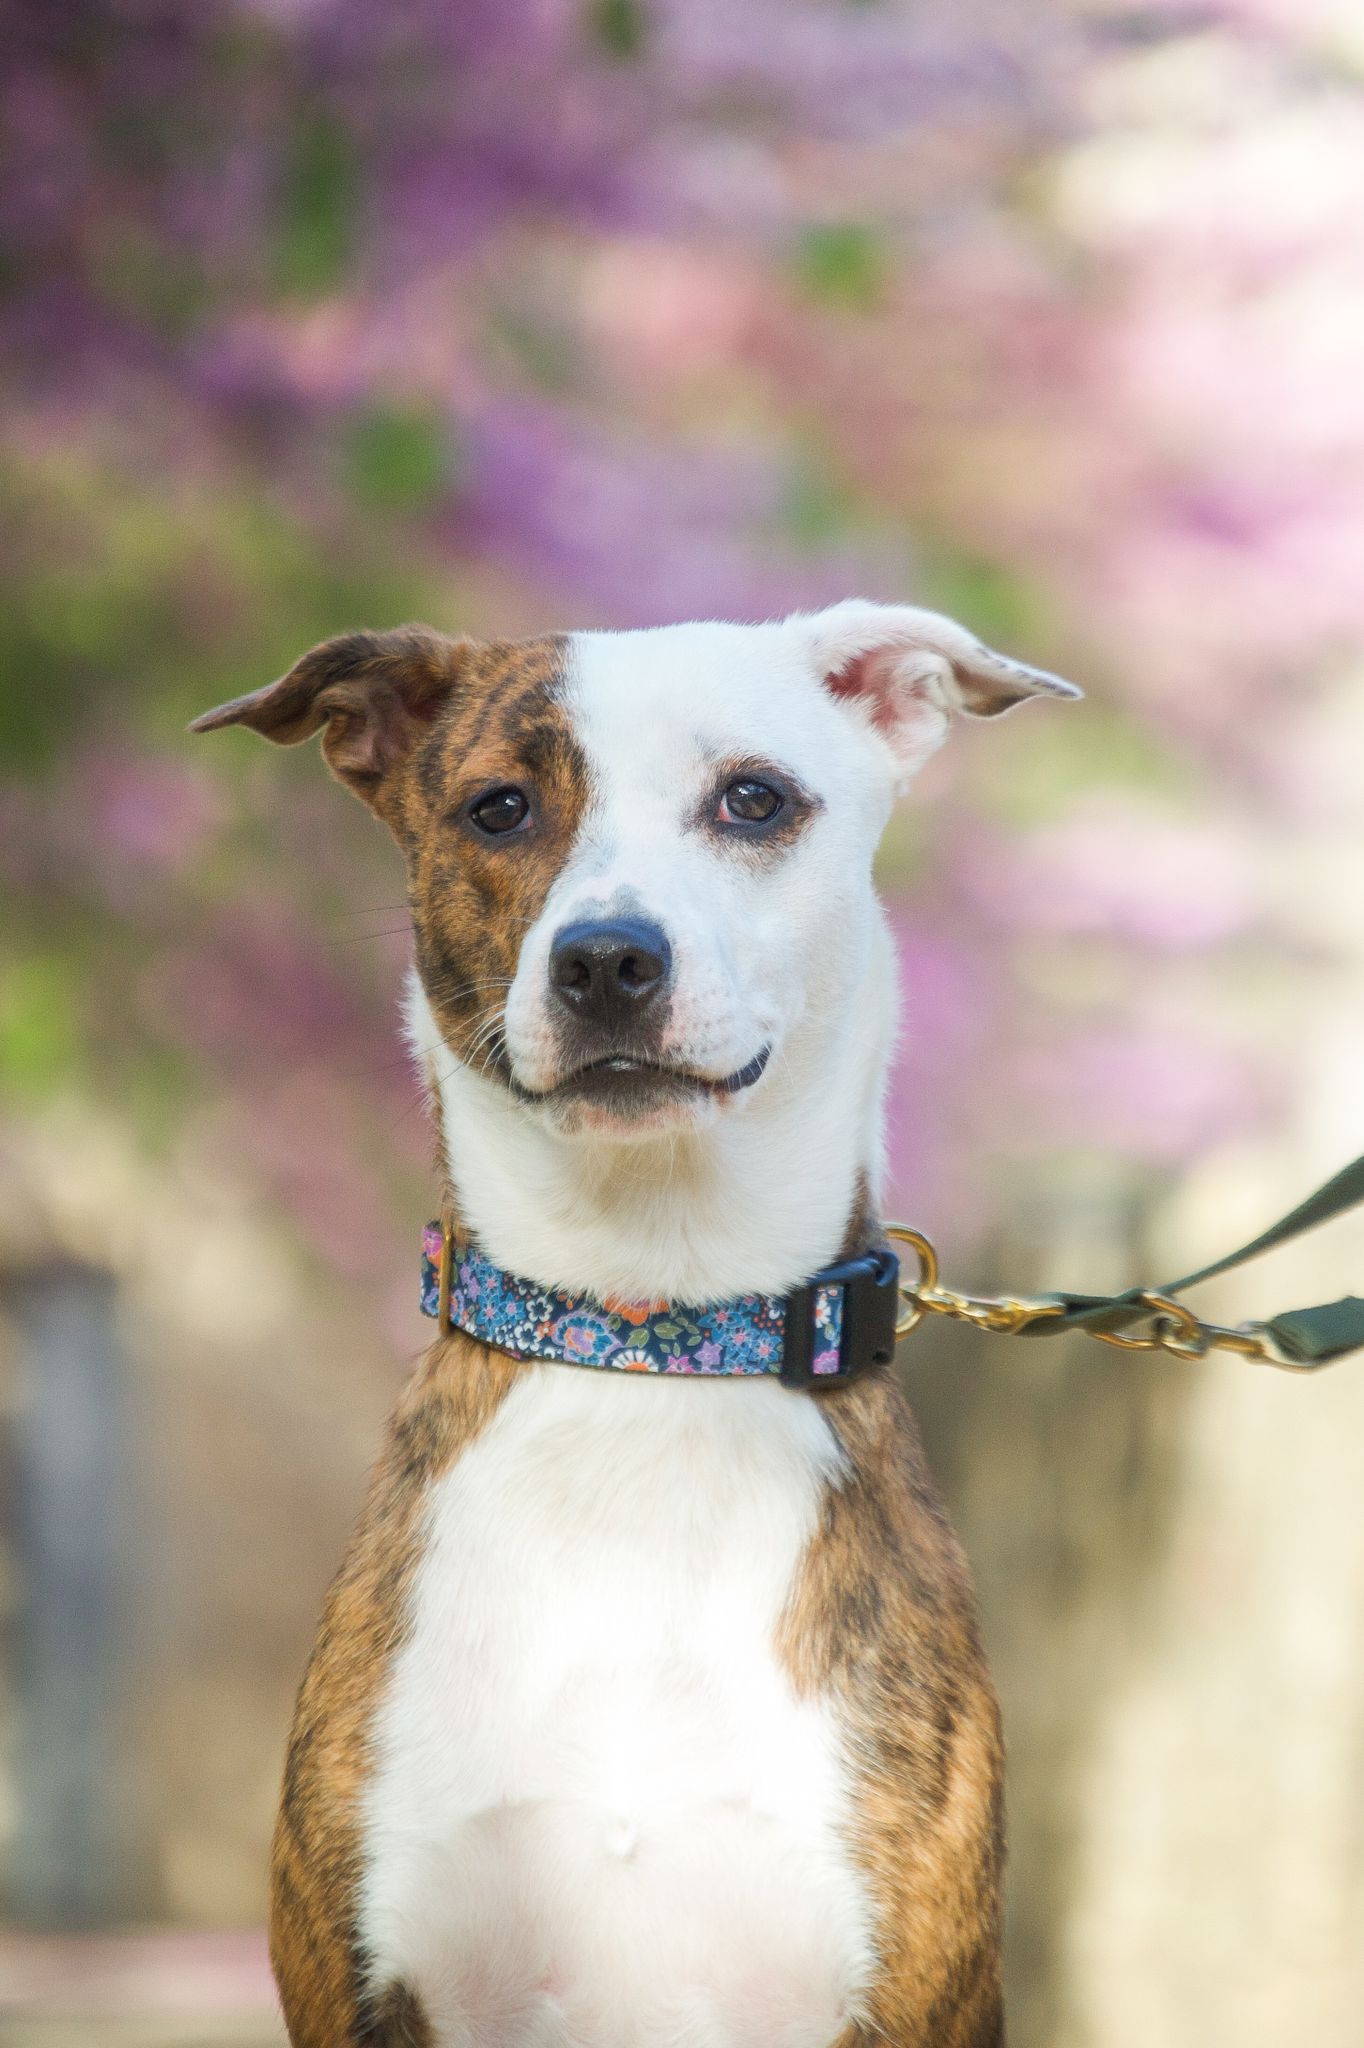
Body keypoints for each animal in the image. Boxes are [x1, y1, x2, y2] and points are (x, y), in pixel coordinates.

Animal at [196, 602, 1081, 2048]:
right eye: (498, 808)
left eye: (754, 798)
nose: (607, 958)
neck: (649, 1336)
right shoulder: (359, 1974)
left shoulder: (906, 1985)